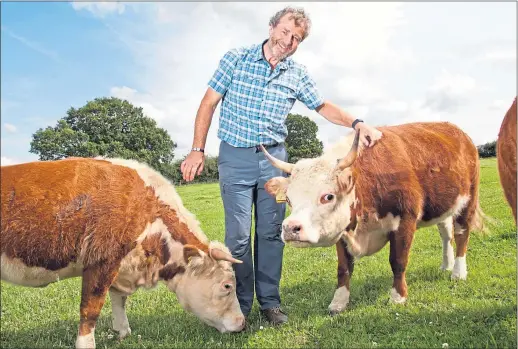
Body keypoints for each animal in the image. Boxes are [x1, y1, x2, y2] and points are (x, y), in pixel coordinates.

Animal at [0, 157, 248, 348]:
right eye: (227, 286)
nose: (242, 322)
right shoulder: (101, 260)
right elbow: (90, 309)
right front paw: (86, 344)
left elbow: (118, 299)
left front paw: (123, 332)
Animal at [262, 123, 486, 316]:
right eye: (289, 199)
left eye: (328, 196)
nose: (290, 228)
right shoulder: (343, 230)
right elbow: (343, 268)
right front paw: (339, 302)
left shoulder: (405, 221)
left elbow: (398, 261)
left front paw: (398, 296)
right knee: (446, 233)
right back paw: (446, 264)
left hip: (469, 199)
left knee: (461, 234)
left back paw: (458, 272)